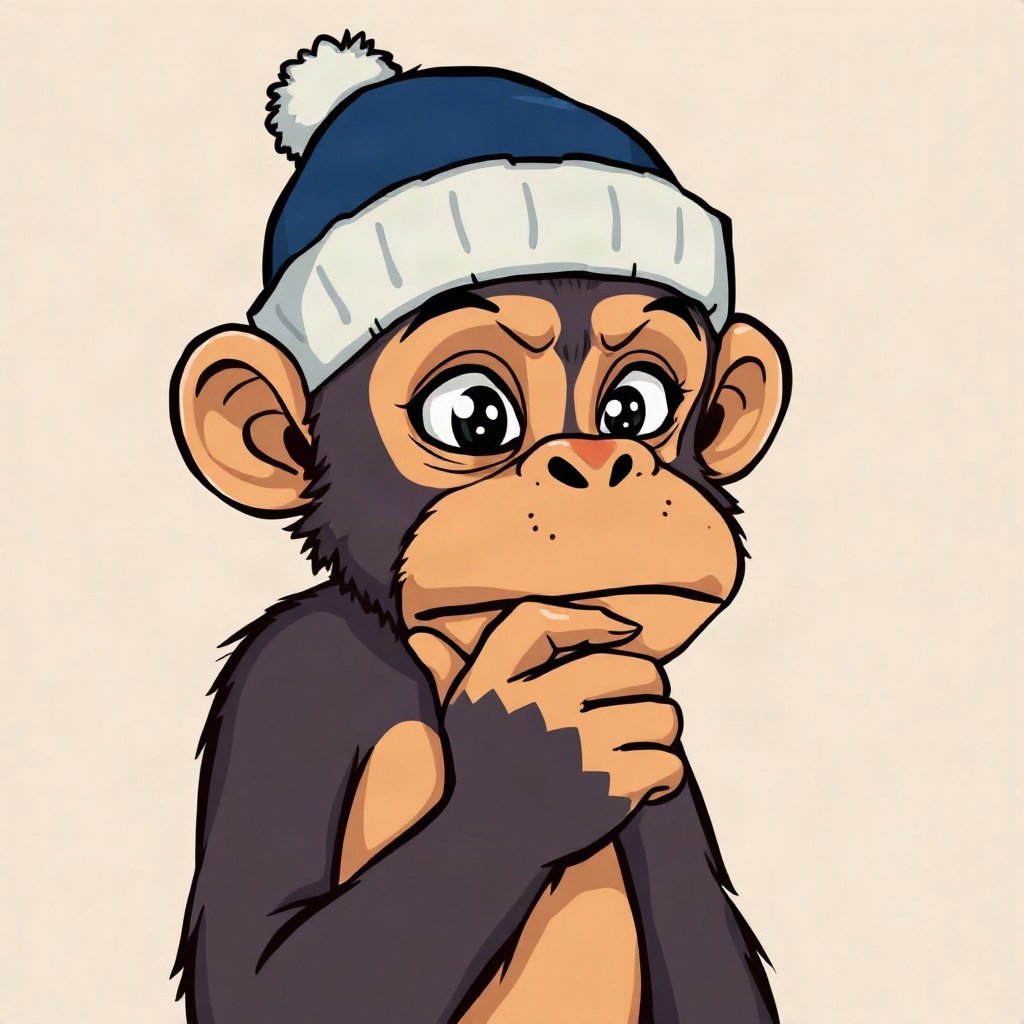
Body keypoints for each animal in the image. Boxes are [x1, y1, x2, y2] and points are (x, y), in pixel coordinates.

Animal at [170, 32, 791, 1024]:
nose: (599, 462)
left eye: (636, 405)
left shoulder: (668, 770)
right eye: (473, 415)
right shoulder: (291, 682)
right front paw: (534, 758)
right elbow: (268, 978)